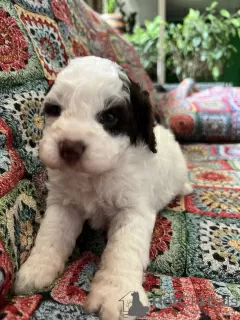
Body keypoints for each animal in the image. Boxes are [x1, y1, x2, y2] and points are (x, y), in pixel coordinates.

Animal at [14, 56, 191, 318]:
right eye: (55, 110)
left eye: (109, 117)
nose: (69, 148)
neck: (94, 176)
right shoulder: (63, 204)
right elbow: (51, 234)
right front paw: (37, 268)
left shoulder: (133, 209)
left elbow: (122, 249)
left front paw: (116, 294)